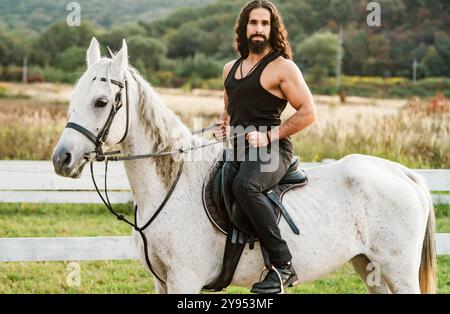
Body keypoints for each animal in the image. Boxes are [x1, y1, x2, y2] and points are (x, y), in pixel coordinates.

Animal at [51, 38, 436, 294]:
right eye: (73, 99)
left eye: (101, 102)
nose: (61, 159)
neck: (172, 185)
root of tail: (401, 172)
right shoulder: (161, 282)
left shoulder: (185, 279)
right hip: (370, 267)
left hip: (397, 271)